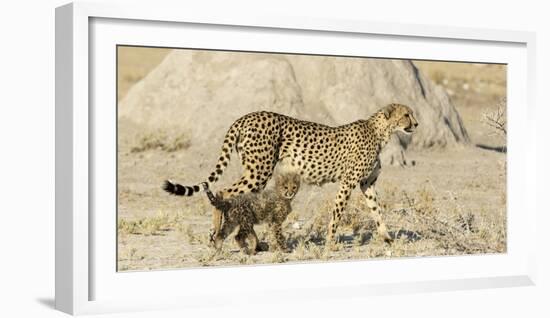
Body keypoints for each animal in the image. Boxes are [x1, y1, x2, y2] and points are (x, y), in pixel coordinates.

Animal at [163, 104, 418, 246]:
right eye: (406, 114)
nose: (416, 124)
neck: (380, 131)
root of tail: (245, 116)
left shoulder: (367, 183)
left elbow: (377, 211)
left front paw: (387, 238)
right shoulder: (348, 182)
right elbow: (337, 213)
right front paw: (331, 243)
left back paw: (248, 241)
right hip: (259, 170)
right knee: (224, 191)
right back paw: (217, 235)